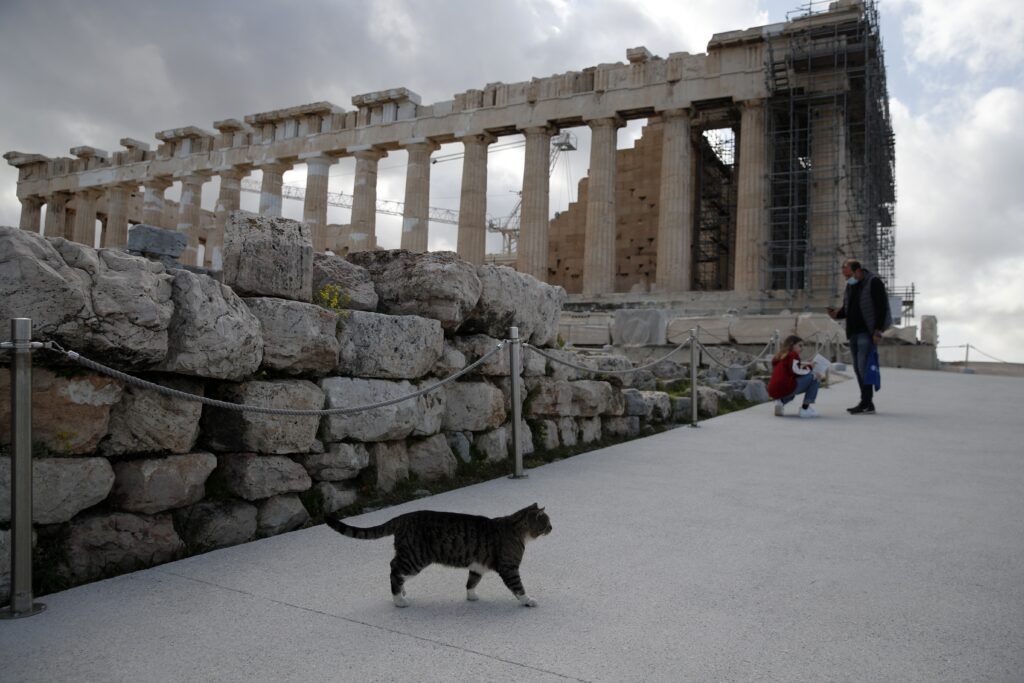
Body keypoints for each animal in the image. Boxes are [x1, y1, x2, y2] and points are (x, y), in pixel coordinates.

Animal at [325, 501, 552, 610]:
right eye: (547, 522)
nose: (552, 527)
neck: (516, 529)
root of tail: (402, 517)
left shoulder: (477, 565)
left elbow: (471, 582)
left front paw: (471, 596)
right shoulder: (509, 567)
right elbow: (518, 587)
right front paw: (528, 600)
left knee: (396, 569)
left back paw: (402, 592)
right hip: (415, 557)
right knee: (394, 569)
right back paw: (399, 600)